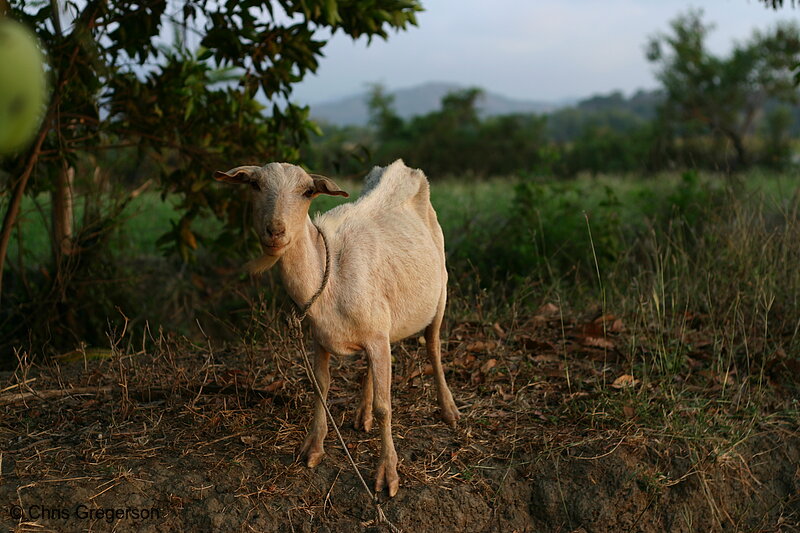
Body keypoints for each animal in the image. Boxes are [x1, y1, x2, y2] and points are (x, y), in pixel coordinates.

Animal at [216, 157, 460, 494]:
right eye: (254, 184)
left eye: (307, 191)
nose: (275, 231)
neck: (329, 274)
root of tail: (402, 167)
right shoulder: (322, 338)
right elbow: (321, 387)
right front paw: (313, 448)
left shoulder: (376, 336)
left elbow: (386, 407)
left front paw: (388, 474)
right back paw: (362, 413)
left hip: (440, 294)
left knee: (434, 346)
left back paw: (448, 410)